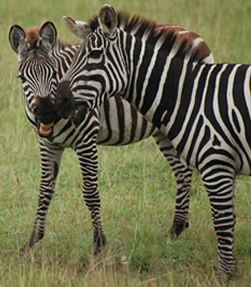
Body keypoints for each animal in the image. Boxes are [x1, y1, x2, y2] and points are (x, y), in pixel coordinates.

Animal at [8, 20, 215, 258]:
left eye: (53, 73)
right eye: (22, 78)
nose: (45, 113)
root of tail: (190, 31)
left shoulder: (86, 140)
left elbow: (90, 192)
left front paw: (99, 245)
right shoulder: (48, 144)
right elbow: (45, 191)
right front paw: (31, 242)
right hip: (162, 130)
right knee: (182, 173)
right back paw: (176, 229)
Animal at [55, 3, 251, 280]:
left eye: (94, 54)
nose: (58, 102)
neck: (190, 93)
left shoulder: (216, 162)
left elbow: (223, 221)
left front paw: (225, 277)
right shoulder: (225, 166)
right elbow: (228, 219)